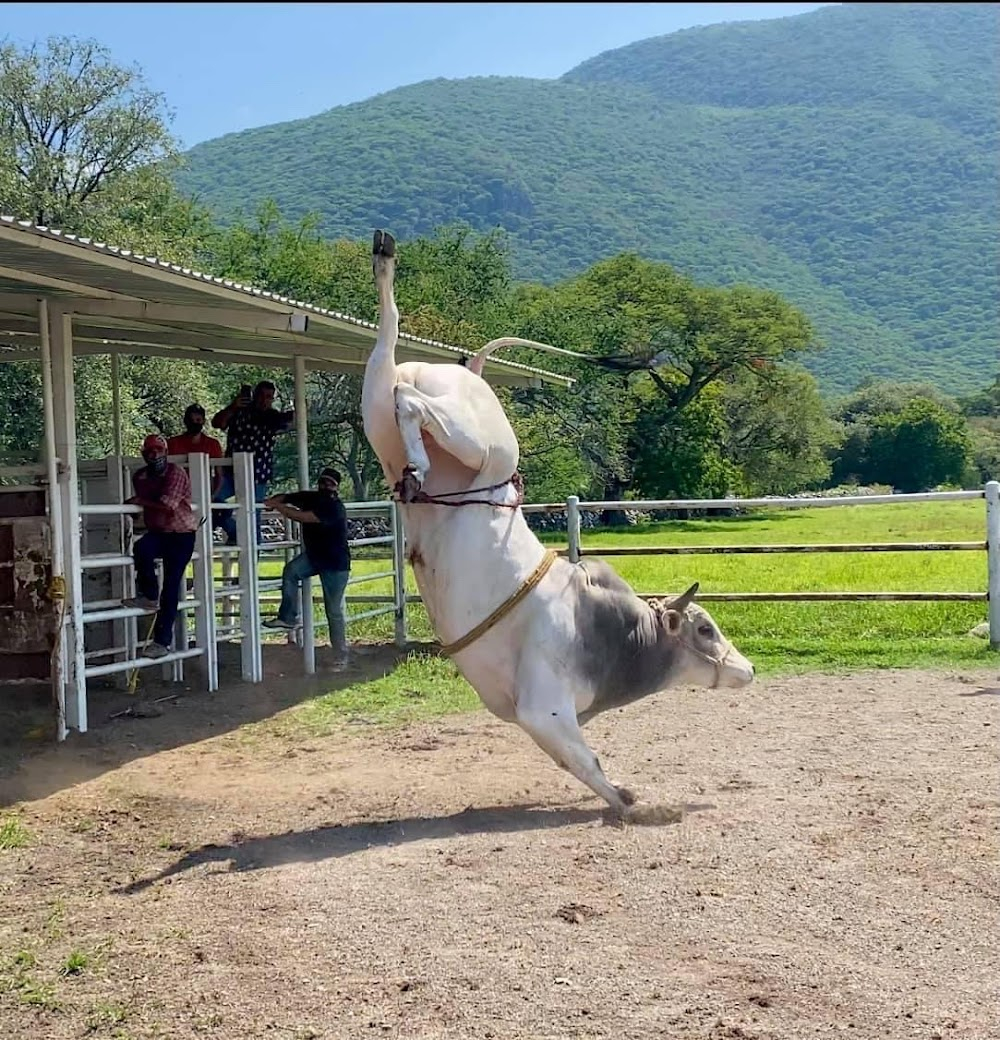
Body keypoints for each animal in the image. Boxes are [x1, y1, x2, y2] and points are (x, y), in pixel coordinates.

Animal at [361, 229, 752, 819]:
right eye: (706, 629)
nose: (746, 669)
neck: (610, 628)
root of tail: (469, 369)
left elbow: (577, 762)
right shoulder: (544, 711)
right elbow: (585, 762)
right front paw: (637, 805)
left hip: (377, 409)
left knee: (390, 360)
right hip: (486, 446)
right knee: (412, 401)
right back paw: (421, 463)